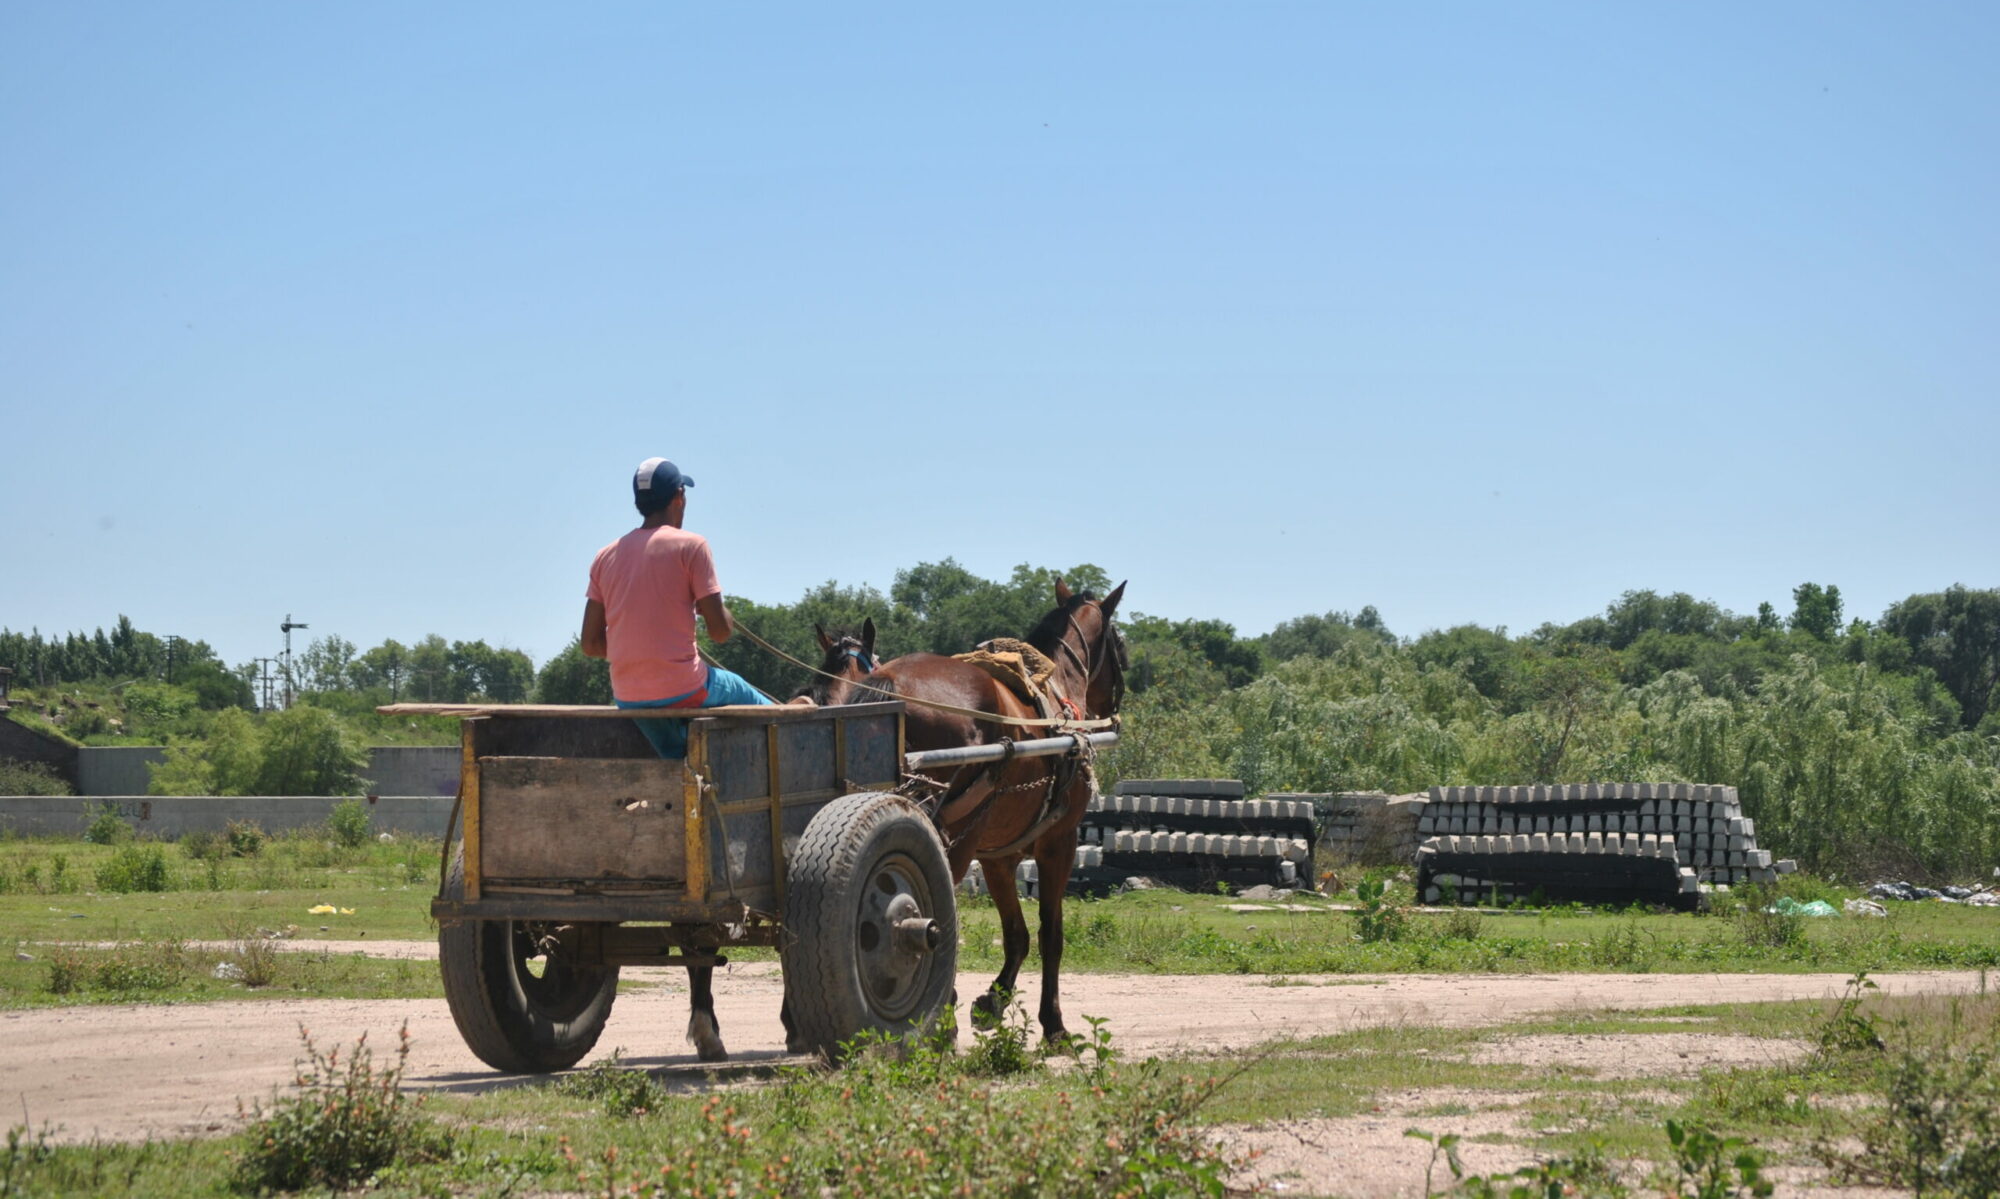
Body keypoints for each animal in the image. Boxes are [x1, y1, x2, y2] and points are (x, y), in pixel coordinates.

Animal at [840, 579, 1128, 1039]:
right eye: (1120, 643)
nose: (1114, 702)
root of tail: (890, 683)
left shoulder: (998, 856)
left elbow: (1016, 933)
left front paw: (993, 1000)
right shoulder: (1058, 843)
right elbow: (1051, 934)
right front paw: (1054, 1024)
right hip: (954, 836)